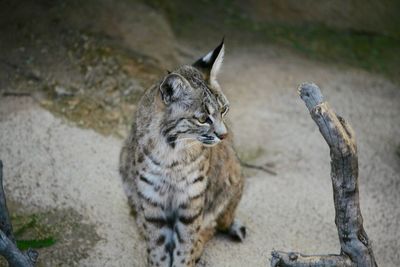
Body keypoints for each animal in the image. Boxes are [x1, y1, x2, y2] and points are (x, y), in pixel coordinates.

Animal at [119, 40, 245, 267]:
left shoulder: (191, 198)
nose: (224, 135)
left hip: (234, 176)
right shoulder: (152, 197)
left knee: (216, 224)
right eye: (203, 119)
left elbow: (185, 245)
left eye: (224, 110)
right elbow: (158, 248)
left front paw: (188, 255)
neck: (173, 152)